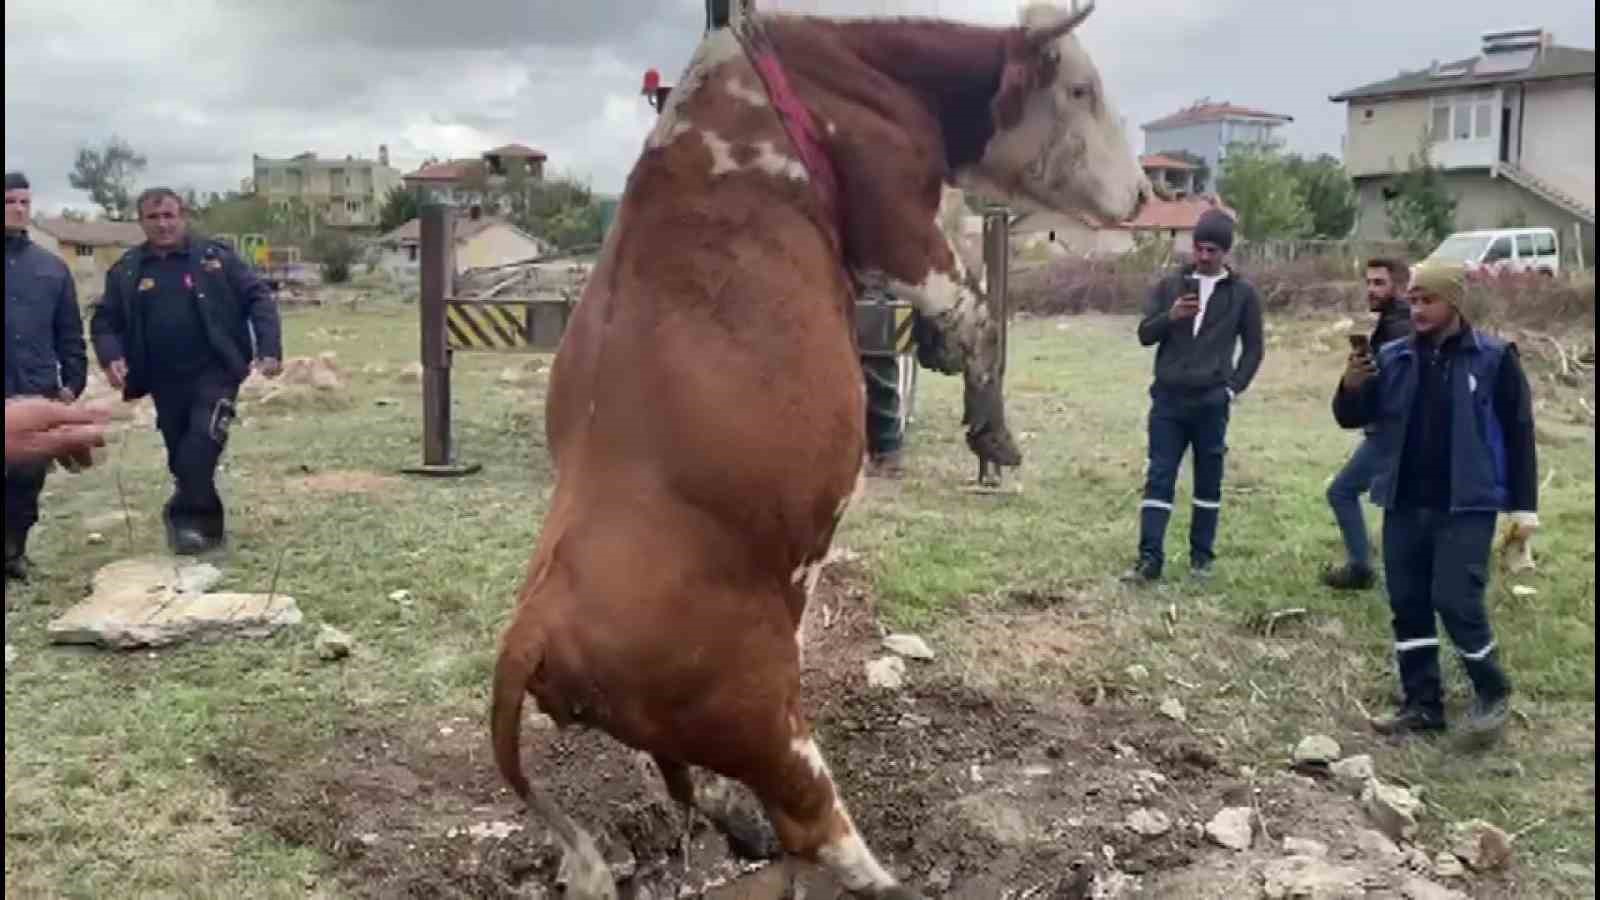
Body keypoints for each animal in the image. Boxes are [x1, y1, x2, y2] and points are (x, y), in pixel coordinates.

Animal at [489, 3, 1152, 890]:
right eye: (1081, 88)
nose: (1145, 192)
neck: (839, 71)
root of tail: (531, 629)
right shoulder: (898, 223)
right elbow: (979, 312)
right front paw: (993, 433)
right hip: (759, 716)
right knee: (812, 822)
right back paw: (880, 876)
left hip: (688, 724)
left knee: (692, 784)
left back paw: (742, 827)